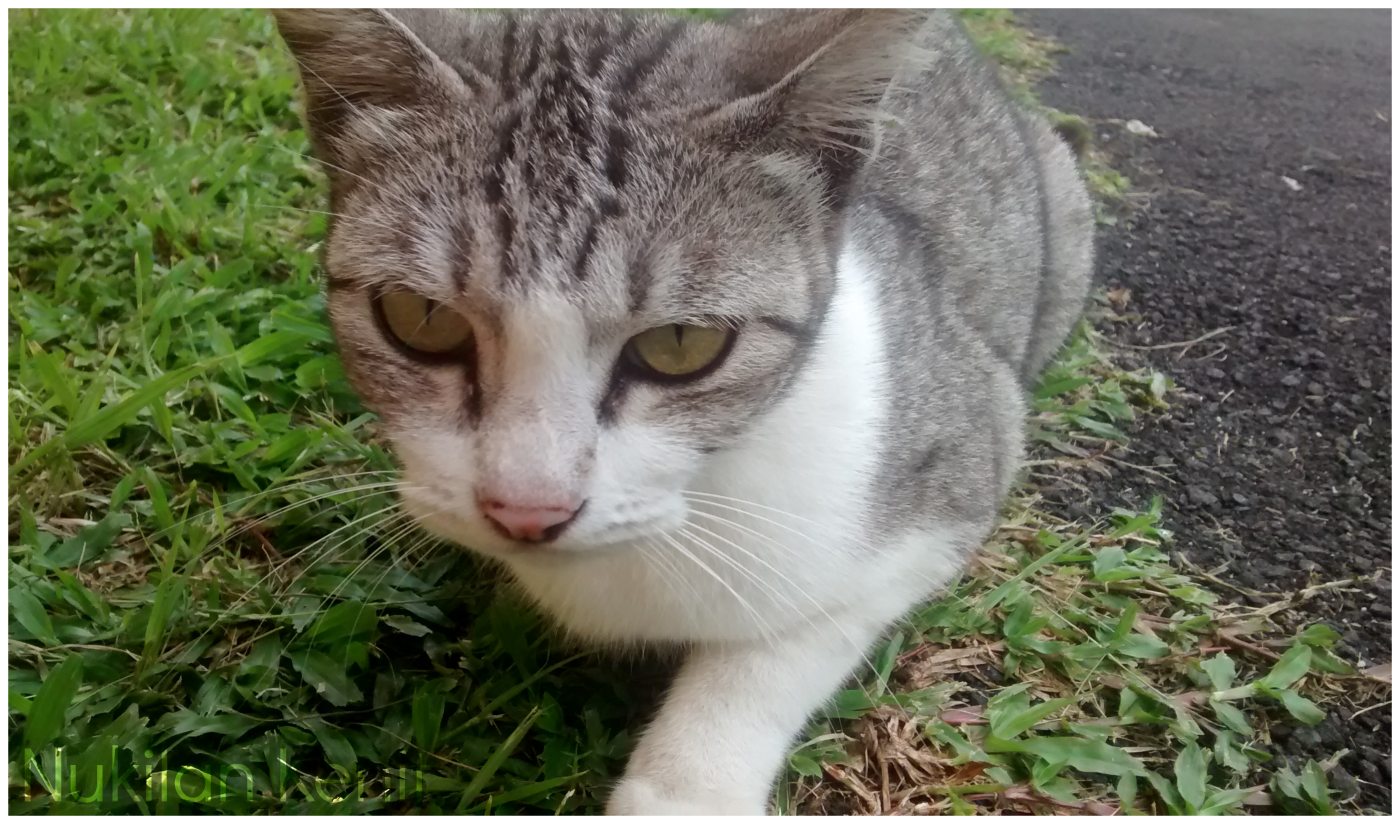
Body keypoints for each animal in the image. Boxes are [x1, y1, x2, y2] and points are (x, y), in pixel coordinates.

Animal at [267, 8, 1086, 817]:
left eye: (682, 344)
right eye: (421, 317)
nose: (528, 509)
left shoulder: (951, 470)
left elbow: (790, 640)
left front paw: (690, 778)